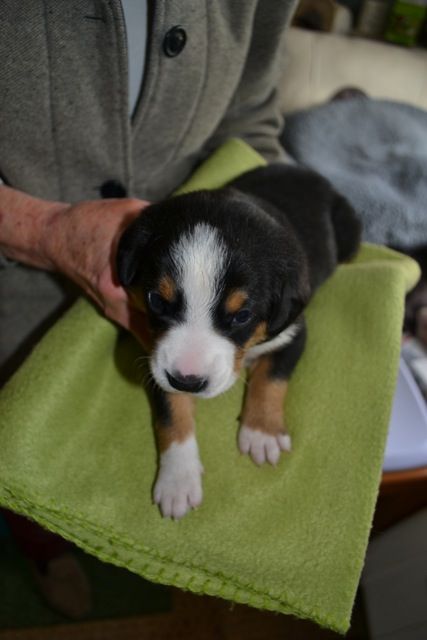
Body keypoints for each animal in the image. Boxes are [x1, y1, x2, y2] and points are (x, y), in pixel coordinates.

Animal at [117, 164, 362, 520]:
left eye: (242, 315)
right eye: (156, 301)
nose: (188, 381)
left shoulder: (291, 331)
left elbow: (271, 378)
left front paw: (262, 433)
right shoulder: (157, 359)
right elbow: (171, 412)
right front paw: (178, 479)